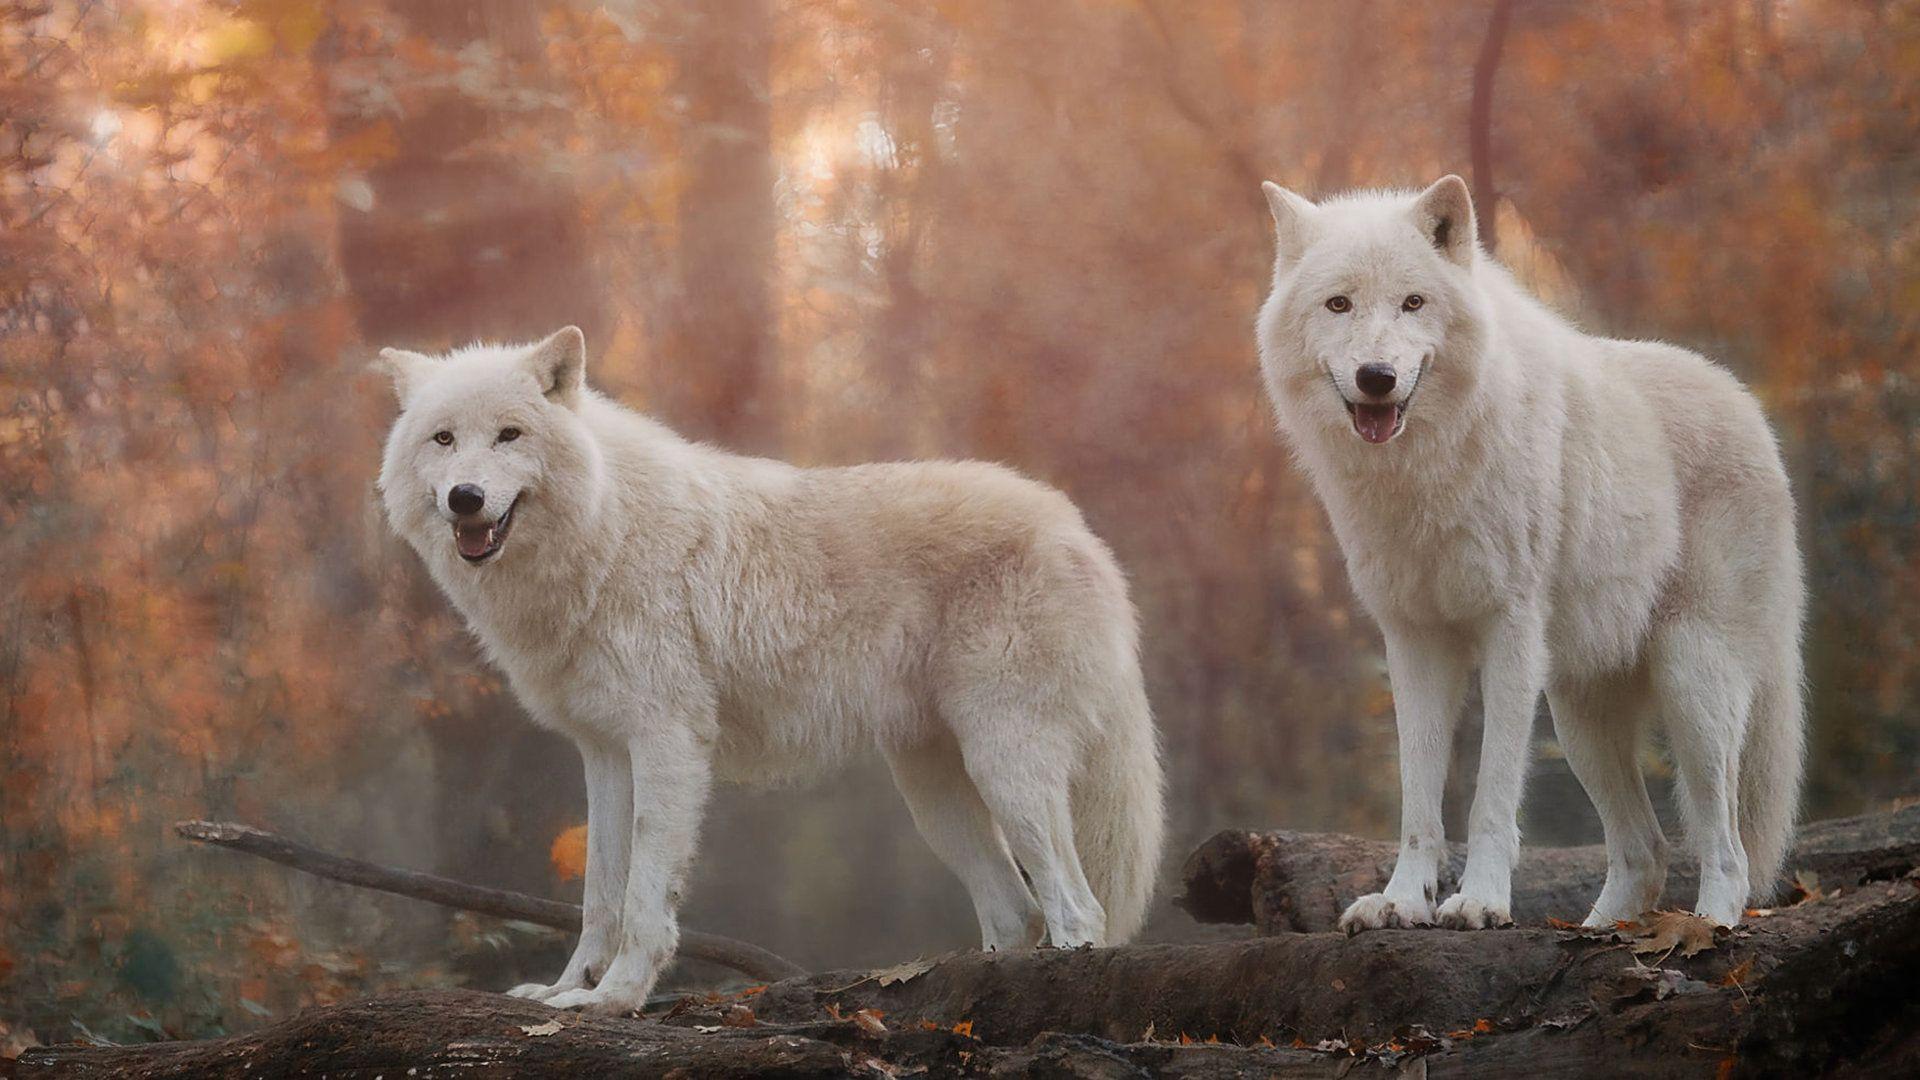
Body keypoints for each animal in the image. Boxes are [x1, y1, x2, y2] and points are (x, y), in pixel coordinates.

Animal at [372, 327, 1164, 1013]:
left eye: (510, 434)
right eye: (443, 439)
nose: (466, 498)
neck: (606, 530)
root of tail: (1078, 530)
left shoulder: (668, 744)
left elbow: (643, 897)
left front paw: (616, 999)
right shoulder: (604, 753)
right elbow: (599, 894)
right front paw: (568, 991)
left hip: (1006, 766)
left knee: (1078, 909)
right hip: (936, 796)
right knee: (1014, 911)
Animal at [1254, 176, 1805, 931]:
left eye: (1412, 302)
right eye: (1339, 304)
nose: (1376, 375)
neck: (1424, 475)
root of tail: (1750, 410)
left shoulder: (1509, 630)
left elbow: (1490, 796)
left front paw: (1480, 900)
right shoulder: (1413, 640)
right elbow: (1419, 800)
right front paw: (1402, 900)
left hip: (1693, 683)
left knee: (1728, 849)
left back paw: (1706, 927)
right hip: (1581, 718)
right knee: (1647, 850)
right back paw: (1601, 931)